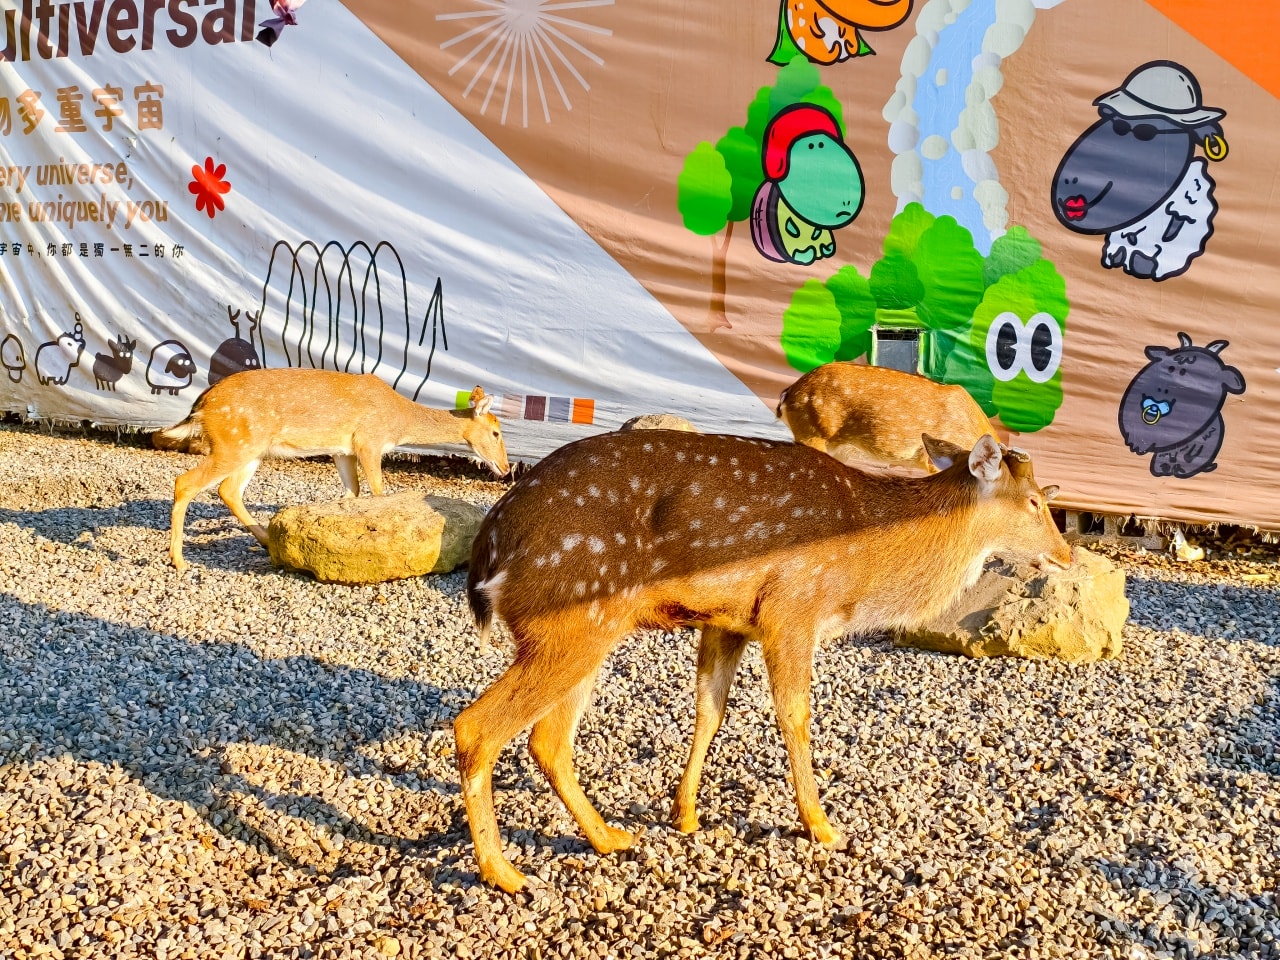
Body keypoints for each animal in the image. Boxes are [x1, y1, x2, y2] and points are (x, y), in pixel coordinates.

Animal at [156, 368, 511, 571]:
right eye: (496, 432)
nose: (506, 468)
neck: (397, 422)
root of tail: (200, 406)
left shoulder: (343, 450)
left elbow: (351, 493)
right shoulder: (369, 441)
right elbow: (378, 491)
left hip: (251, 450)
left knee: (228, 490)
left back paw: (268, 542)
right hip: (233, 443)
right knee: (184, 482)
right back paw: (178, 560)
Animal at [455, 428, 1073, 893]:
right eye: (1035, 501)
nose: (1067, 554)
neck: (863, 576)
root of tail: (490, 543)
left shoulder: (728, 622)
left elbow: (710, 709)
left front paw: (685, 815)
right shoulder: (793, 607)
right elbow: (794, 715)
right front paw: (824, 827)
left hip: (586, 633)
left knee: (548, 739)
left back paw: (609, 837)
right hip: (571, 620)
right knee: (476, 728)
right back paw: (505, 873)